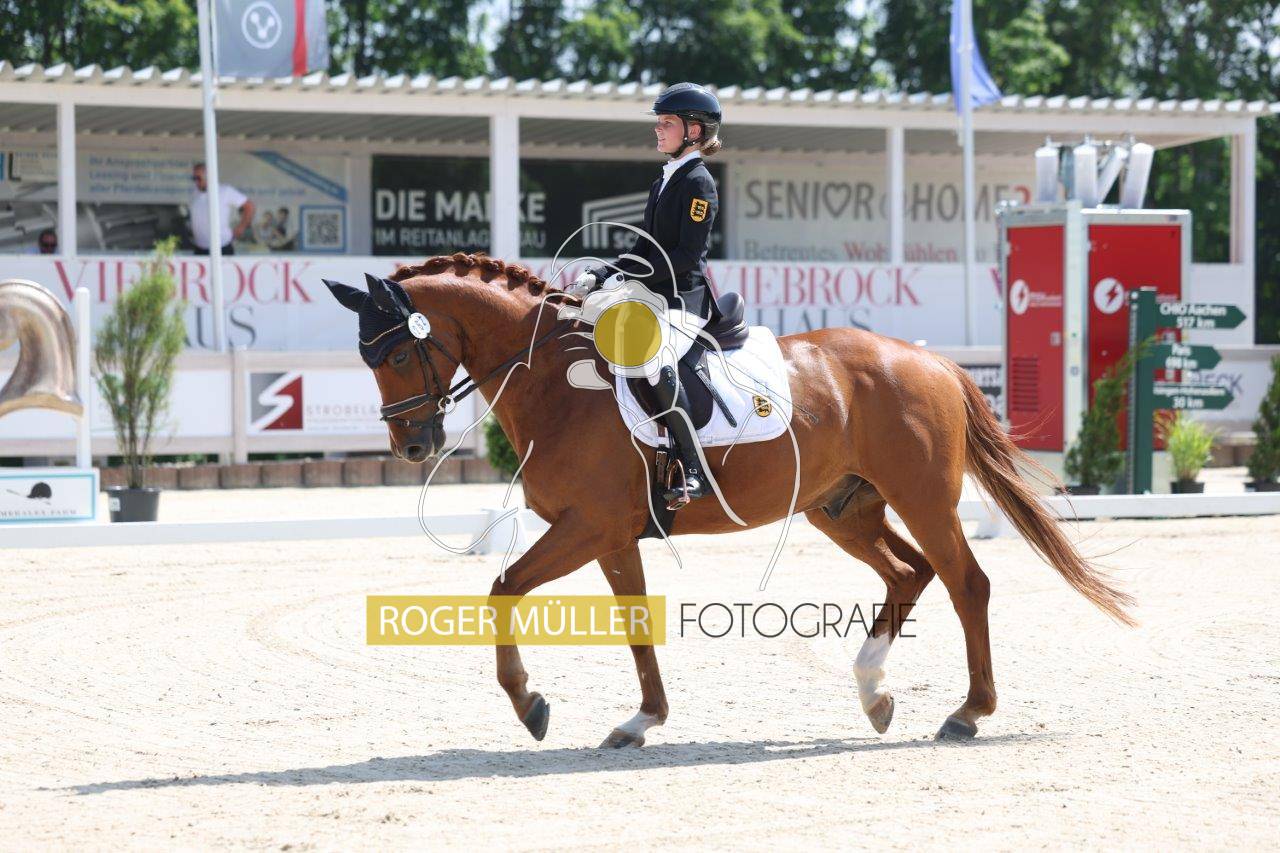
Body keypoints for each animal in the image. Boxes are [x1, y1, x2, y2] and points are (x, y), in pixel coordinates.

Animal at [324, 252, 1134, 748]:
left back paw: (967, 713)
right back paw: (873, 693)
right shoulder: (612, 535)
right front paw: (641, 719)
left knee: (967, 582)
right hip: (843, 507)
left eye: (394, 352)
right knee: (910, 573)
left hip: (922, 496)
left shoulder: (588, 526)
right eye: (366, 357)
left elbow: (502, 588)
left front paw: (530, 705)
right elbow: (635, 625)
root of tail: (928, 360)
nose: (413, 446)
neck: (556, 382)